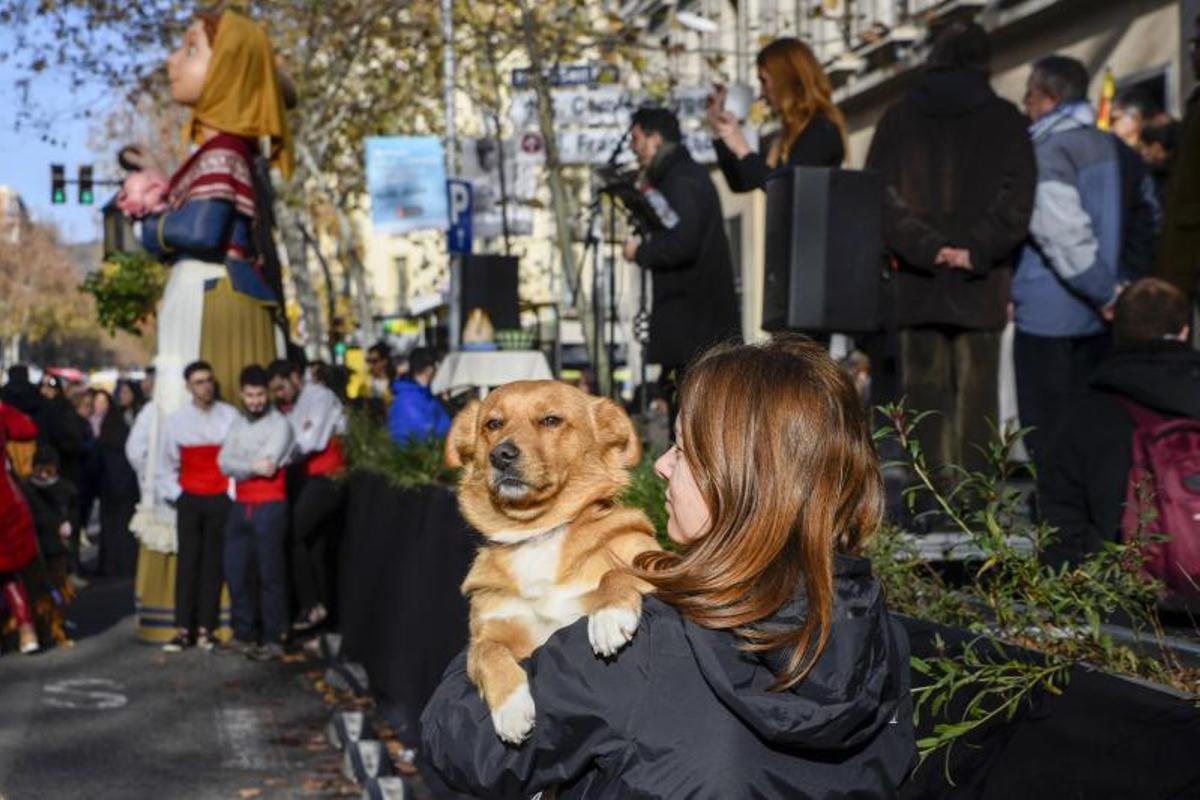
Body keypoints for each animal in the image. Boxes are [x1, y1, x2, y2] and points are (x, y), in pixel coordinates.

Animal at [446, 381, 662, 743]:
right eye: (493, 424)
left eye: (551, 420)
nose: (500, 455)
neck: (538, 533)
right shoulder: (482, 638)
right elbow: (488, 653)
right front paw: (511, 707)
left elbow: (618, 573)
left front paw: (609, 614)